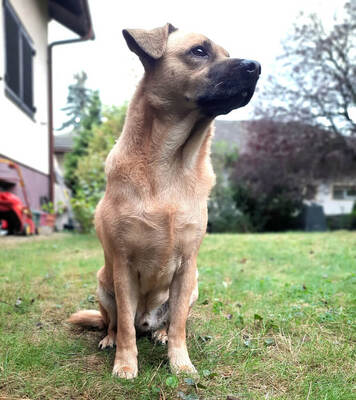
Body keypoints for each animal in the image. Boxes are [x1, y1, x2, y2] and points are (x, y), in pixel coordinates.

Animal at [67, 21, 262, 378]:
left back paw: (159, 333)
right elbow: (125, 325)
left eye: (226, 52)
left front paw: (181, 363)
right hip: (103, 282)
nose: (255, 66)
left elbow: (180, 325)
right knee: (114, 321)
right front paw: (126, 364)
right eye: (199, 51)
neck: (170, 163)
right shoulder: (123, 265)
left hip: (193, 286)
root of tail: (146, 319)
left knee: (167, 321)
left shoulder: (187, 268)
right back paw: (110, 339)